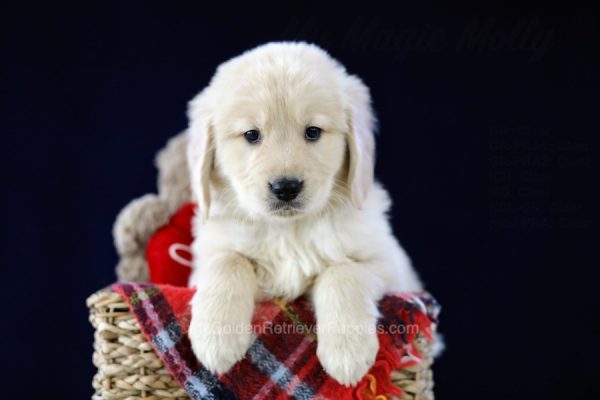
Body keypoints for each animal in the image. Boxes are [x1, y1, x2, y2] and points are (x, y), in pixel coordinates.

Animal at [186, 42, 422, 386]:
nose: (286, 187)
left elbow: (342, 271)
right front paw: (217, 339)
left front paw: (347, 352)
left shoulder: (391, 269)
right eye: (251, 135)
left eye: (313, 132)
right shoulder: (207, 262)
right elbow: (229, 261)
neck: (289, 231)